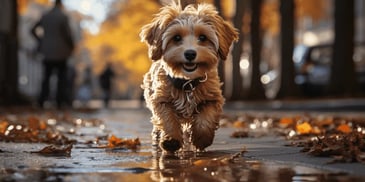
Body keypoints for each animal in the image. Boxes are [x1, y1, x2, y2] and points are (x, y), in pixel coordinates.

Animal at [139, 2, 236, 152]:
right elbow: (167, 119)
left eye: (202, 37)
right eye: (177, 38)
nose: (190, 53)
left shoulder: (212, 99)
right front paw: (171, 140)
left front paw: (202, 139)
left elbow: (206, 119)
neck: (187, 82)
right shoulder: (161, 100)